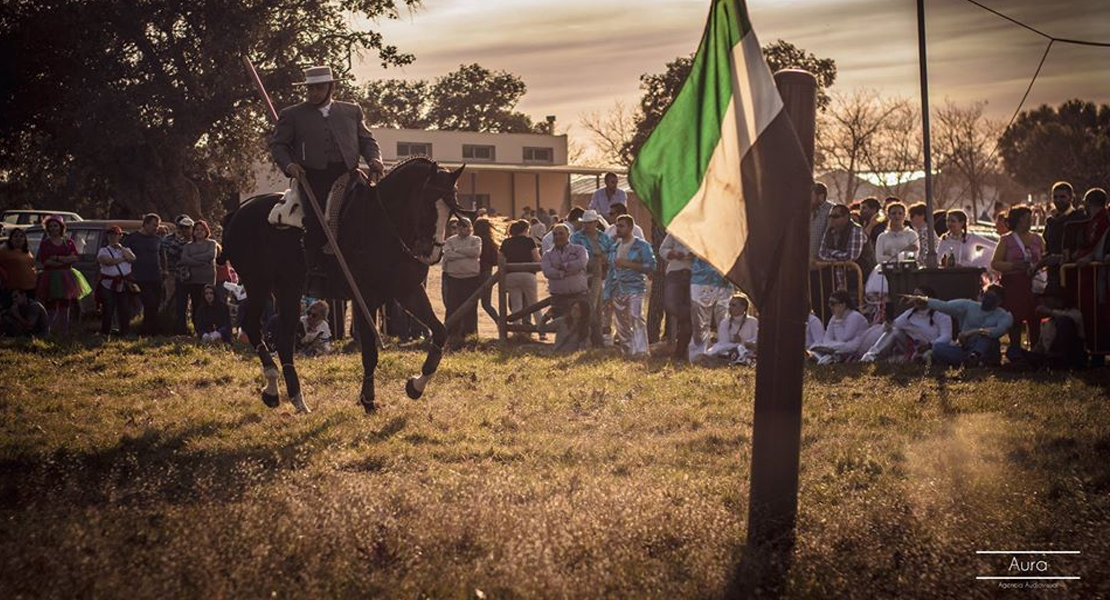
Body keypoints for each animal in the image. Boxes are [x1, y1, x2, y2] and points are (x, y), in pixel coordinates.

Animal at [223, 156, 466, 414]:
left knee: (284, 340)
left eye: (451, 208)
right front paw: (368, 400)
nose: (432, 253)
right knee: (253, 327)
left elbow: (440, 332)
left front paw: (415, 386)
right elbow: (369, 352)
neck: (383, 225)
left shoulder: (408, 291)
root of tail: (238, 212)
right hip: (257, 284)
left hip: (287, 289)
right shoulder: (365, 299)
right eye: (428, 204)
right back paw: (272, 385)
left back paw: (295, 398)